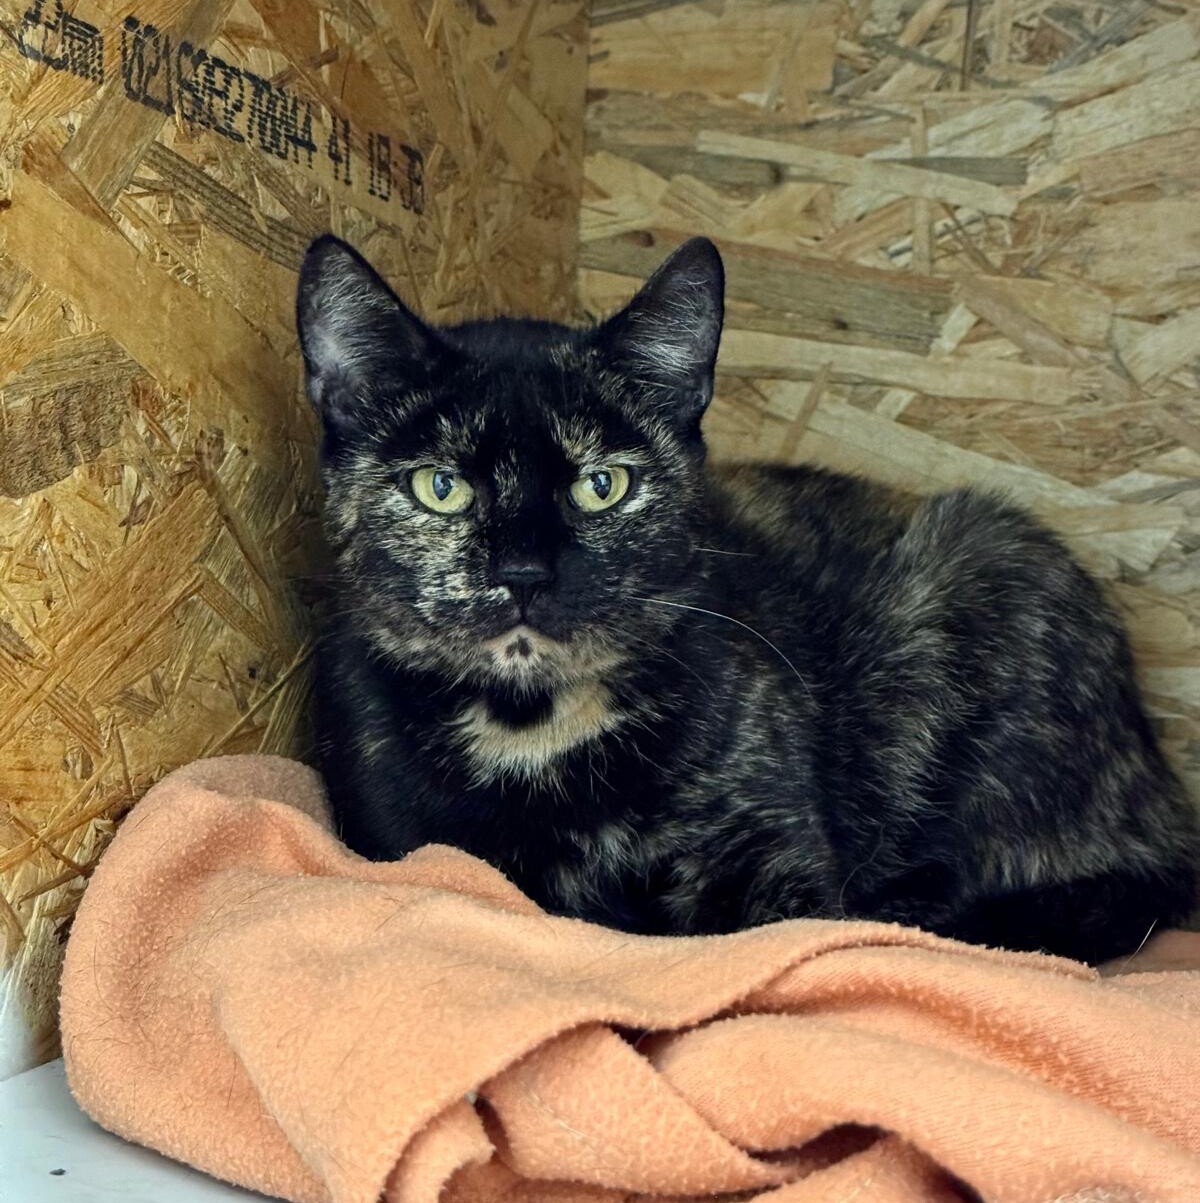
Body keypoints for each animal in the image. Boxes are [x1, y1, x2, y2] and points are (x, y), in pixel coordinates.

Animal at [296, 233, 1198, 965]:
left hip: (987, 566)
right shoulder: (410, 850)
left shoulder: (772, 858)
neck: (535, 725)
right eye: (440, 487)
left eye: (603, 485)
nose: (524, 573)